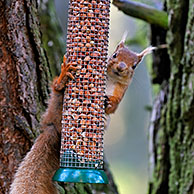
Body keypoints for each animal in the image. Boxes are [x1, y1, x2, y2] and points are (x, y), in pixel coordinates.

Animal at [9, 41, 155, 193]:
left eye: (134, 65)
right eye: (115, 55)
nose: (121, 67)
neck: (111, 79)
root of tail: (52, 126)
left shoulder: (120, 92)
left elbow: (113, 108)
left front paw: (110, 103)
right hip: (59, 100)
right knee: (57, 87)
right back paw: (64, 77)